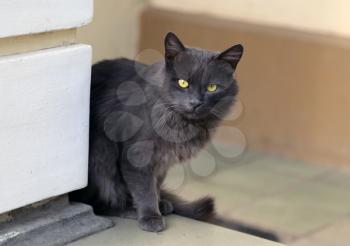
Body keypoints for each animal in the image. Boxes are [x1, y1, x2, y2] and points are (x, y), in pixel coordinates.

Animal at [69, 31, 242, 232]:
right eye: (183, 83)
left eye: (212, 87)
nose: (195, 103)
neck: (182, 123)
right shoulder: (137, 156)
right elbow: (144, 189)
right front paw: (150, 215)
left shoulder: (162, 160)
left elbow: (156, 184)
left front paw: (159, 204)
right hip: (101, 154)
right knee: (96, 203)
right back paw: (128, 209)